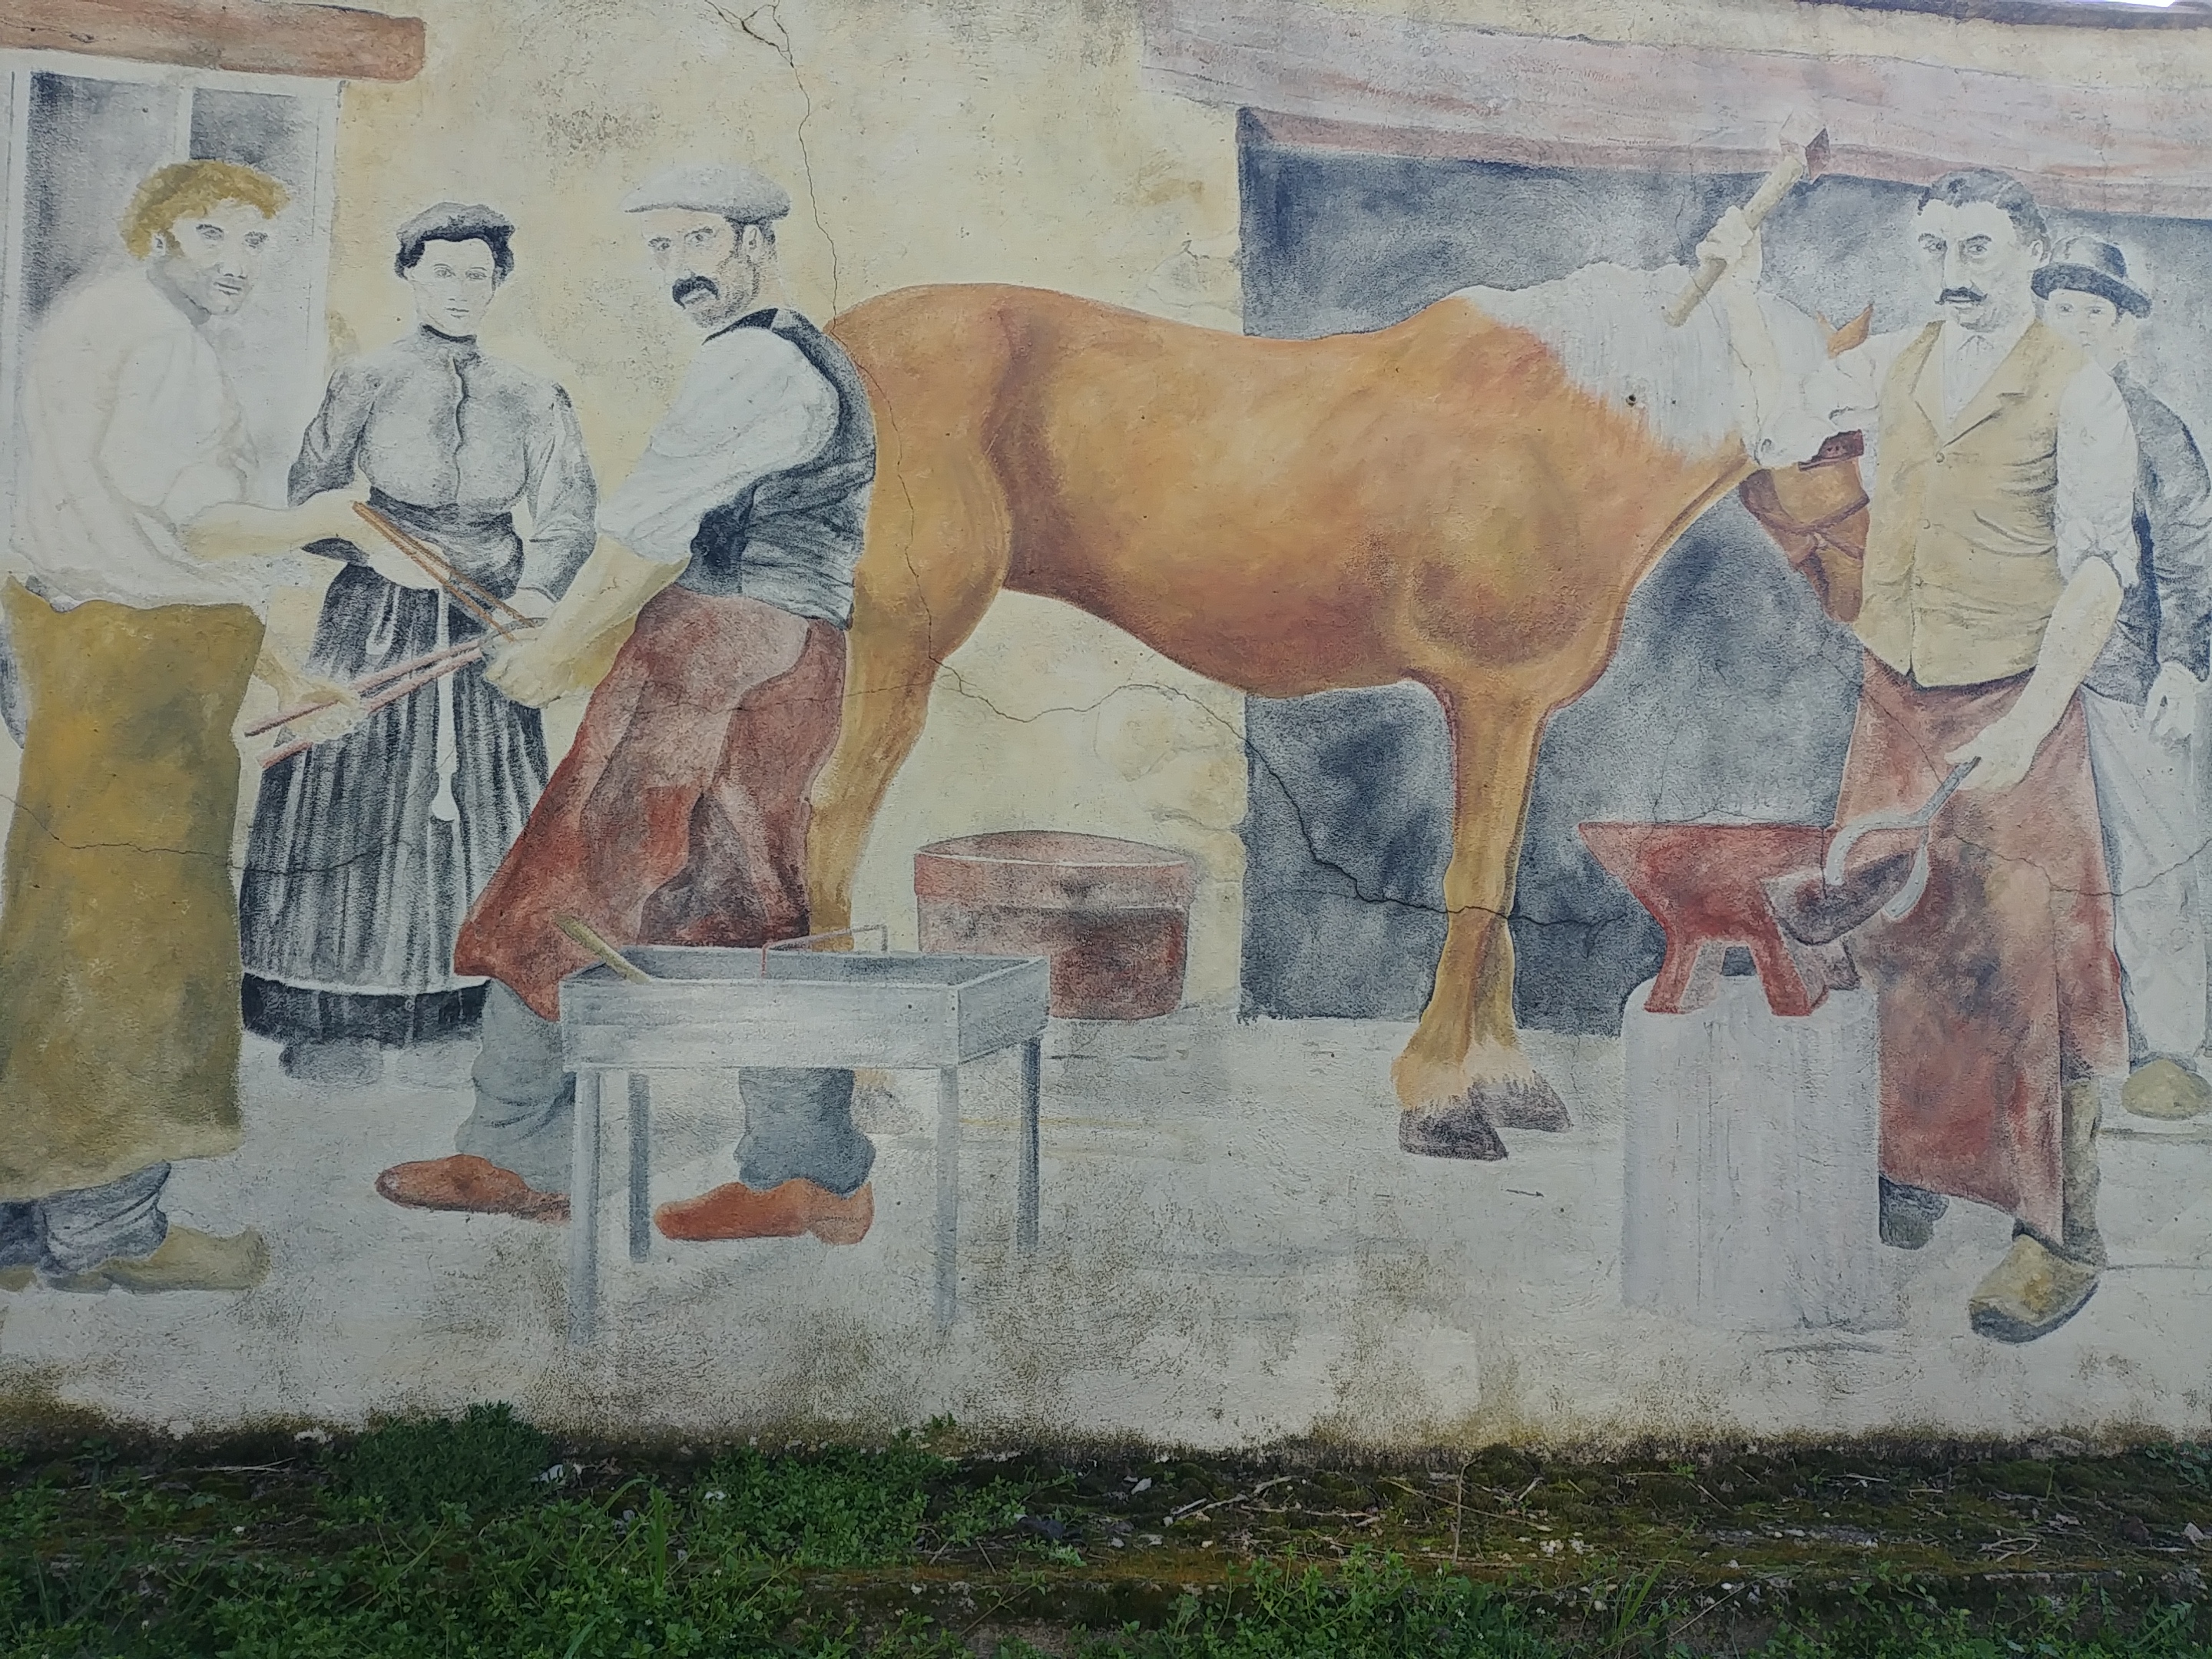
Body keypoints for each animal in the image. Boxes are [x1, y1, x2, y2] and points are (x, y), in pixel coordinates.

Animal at [803, 266, 1839, 1160]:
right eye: (1847, 439)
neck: (1574, 420)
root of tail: (838, 340)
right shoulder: (1491, 697)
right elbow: (1475, 887)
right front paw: (1444, 1104)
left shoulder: (1518, 711)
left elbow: (1501, 883)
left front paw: (1509, 1084)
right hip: (901, 640)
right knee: (833, 817)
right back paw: (859, 1082)